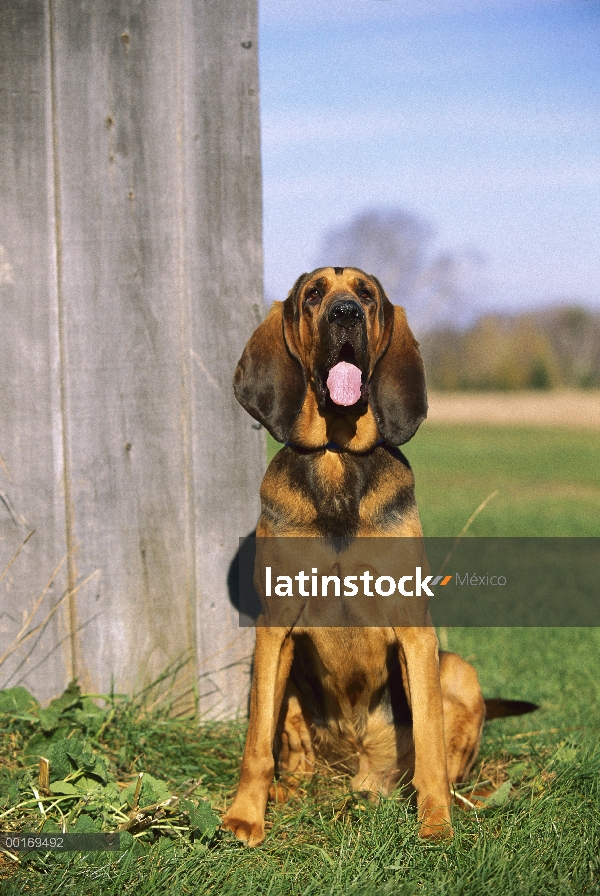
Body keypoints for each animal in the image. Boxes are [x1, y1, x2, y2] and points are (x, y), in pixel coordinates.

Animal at [223, 266, 524, 848]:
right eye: (313, 295)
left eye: (366, 294)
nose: (345, 314)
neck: (338, 457)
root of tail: (357, 770)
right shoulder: (275, 627)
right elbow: (256, 744)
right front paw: (244, 817)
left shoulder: (413, 627)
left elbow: (429, 744)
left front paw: (435, 824)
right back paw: (288, 792)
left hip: (457, 670)